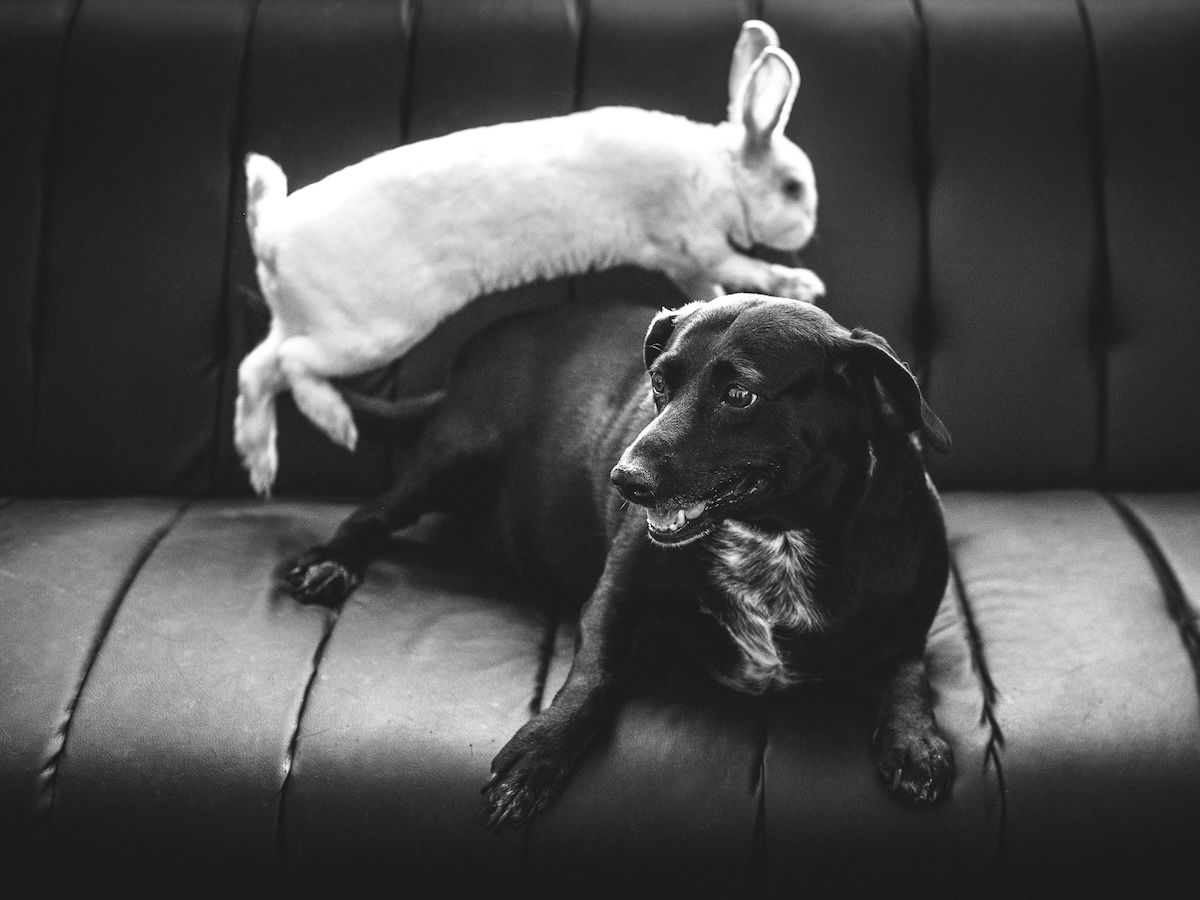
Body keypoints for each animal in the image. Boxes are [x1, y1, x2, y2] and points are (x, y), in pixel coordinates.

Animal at [236, 21, 816, 496]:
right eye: (792, 188)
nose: (809, 226)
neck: (723, 171)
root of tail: (272, 234)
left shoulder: (682, 257)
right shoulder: (695, 244)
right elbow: (738, 269)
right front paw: (799, 282)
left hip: (307, 321)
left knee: (257, 367)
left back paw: (259, 462)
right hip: (372, 332)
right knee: (291, 364)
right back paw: (334, 423)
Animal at [283, 292, 955, 830]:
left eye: (740, 395)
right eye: (659, 384)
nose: (625, 481)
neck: (776, 538)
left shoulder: (911, 617)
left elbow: (908, 669)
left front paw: (916, 740)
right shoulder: (615, 596)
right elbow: (593, 676)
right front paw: (539, 752)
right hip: (452, 456)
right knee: (374, 512)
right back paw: (331, 562)